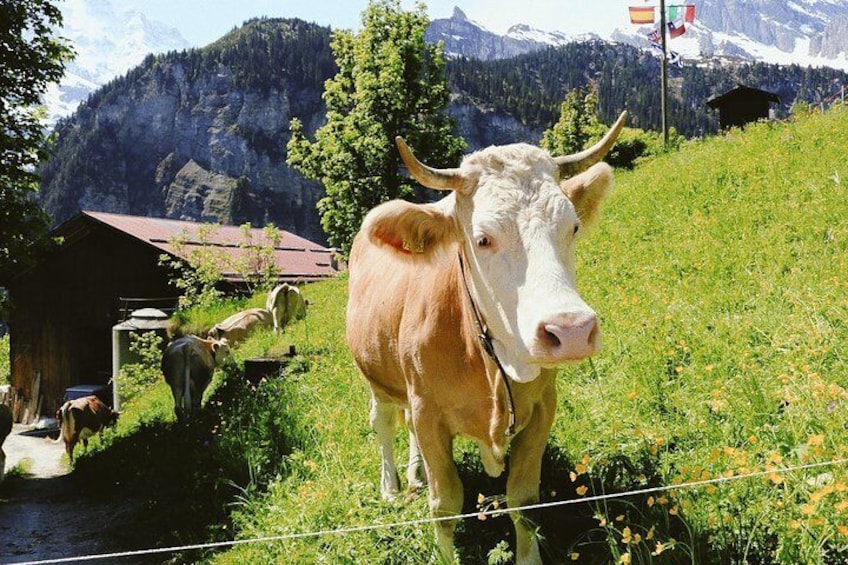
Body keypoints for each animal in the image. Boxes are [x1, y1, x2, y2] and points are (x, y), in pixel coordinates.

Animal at [346, 112, 628, 560]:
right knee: (385, 422)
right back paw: (391, 485)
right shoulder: (428, 412)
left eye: (573, 227)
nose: (571, 330)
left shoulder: (543, 406)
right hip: (375, 379)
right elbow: (444, 506)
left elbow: (524, 500)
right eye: (483, 239)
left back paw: (414, 474)